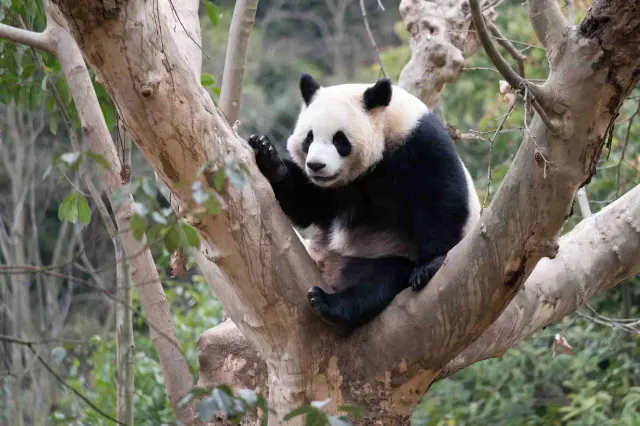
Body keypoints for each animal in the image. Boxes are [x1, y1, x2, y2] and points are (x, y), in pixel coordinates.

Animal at [247, 74, 480, 332]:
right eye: (309, 137)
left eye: (340, 139)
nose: (316, 165)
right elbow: (311, 204)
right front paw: (268, 155)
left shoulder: (417, 142)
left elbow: (439, 198)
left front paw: (429, 266)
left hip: (379, 251)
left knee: (379, 279)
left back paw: (329, 304)